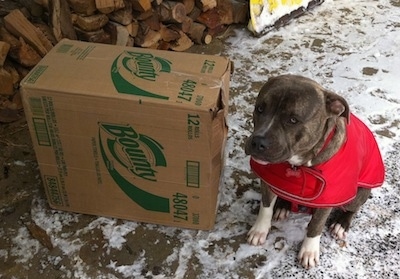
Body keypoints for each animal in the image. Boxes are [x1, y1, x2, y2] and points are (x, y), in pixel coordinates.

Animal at [244, 74, 384, 270]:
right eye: (260, 108)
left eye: (293, 120)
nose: (258, 142)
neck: (298, 163)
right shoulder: (267, 179)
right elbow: (265, 207)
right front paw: (259, 230)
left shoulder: (329, 196)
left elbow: (316, 225)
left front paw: (309, 251)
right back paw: (283, 205)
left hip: (359, 194)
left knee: (352, 209)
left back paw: (341, 224)